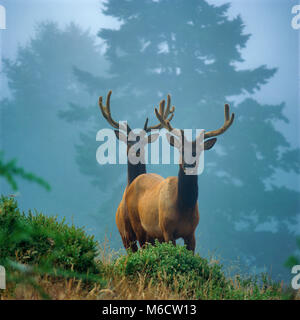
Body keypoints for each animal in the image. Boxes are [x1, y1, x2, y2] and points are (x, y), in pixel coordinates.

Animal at [124, 95, 234, 252]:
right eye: (181, 150)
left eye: (197, 151)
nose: (189, 164)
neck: (183, 208)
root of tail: (133, 183)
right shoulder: (166, 229)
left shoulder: (191, 232)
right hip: (137, 224)